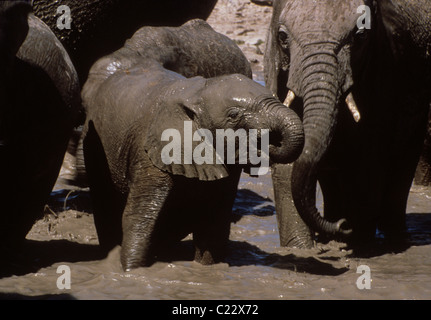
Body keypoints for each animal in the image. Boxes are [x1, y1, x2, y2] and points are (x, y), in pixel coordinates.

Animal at [81, 20, 304, 270]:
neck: (197, 93)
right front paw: (131, 272)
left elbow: (214, 222)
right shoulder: (149, 151)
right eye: (234, 115)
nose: (268, 142)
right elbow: (140, 218)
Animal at [264, 0, 431, 248]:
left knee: (403, 163)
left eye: (361, 36)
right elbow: (289, 163)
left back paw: (395, 240)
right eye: (282, 36)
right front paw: (302, 250)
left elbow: (368, 164)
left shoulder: (385, 72)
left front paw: (358, 244)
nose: (343, 225)